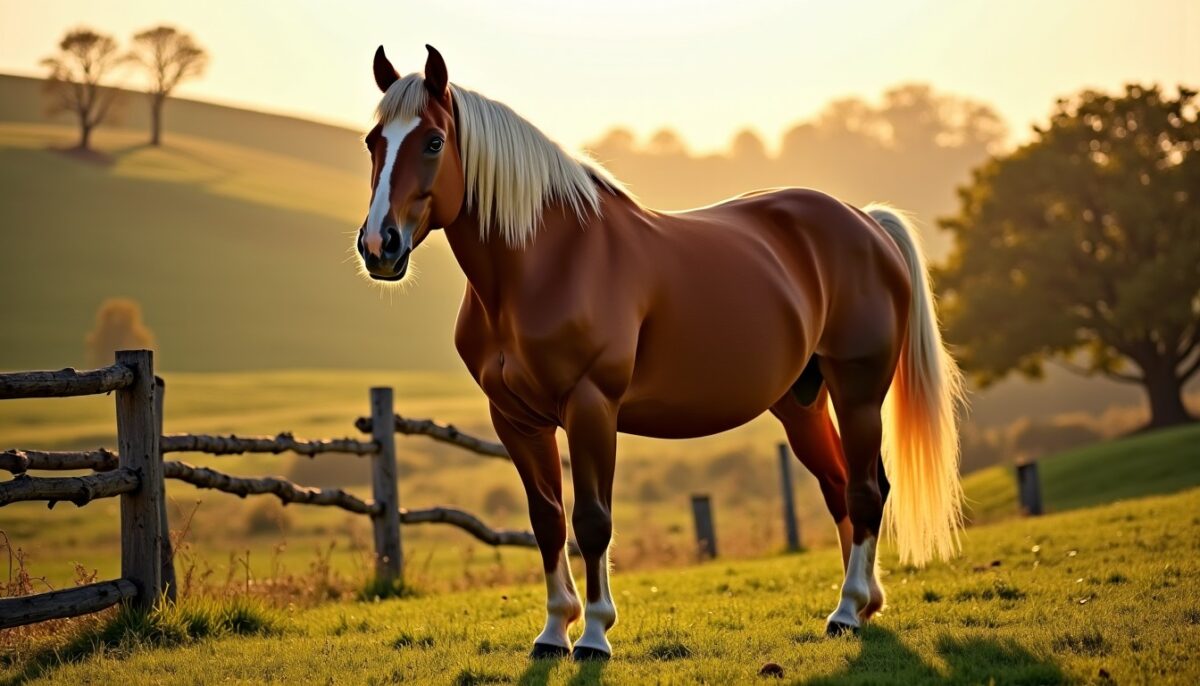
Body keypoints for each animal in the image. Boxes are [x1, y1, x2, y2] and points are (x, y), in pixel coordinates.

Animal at [356, 45, 965, 660]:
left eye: (434, 141)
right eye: (373, 141)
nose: (380, 245)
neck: (545, 264)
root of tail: (866, 223)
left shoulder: (591, 406)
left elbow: (593, 521)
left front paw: (594, 636)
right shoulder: (515, 419)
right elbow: (547, 520)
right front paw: (553, 632)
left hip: (858, 391)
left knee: (866, 491)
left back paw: (847, 609)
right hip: (802, 402)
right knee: (839, 487)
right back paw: (860, 607)